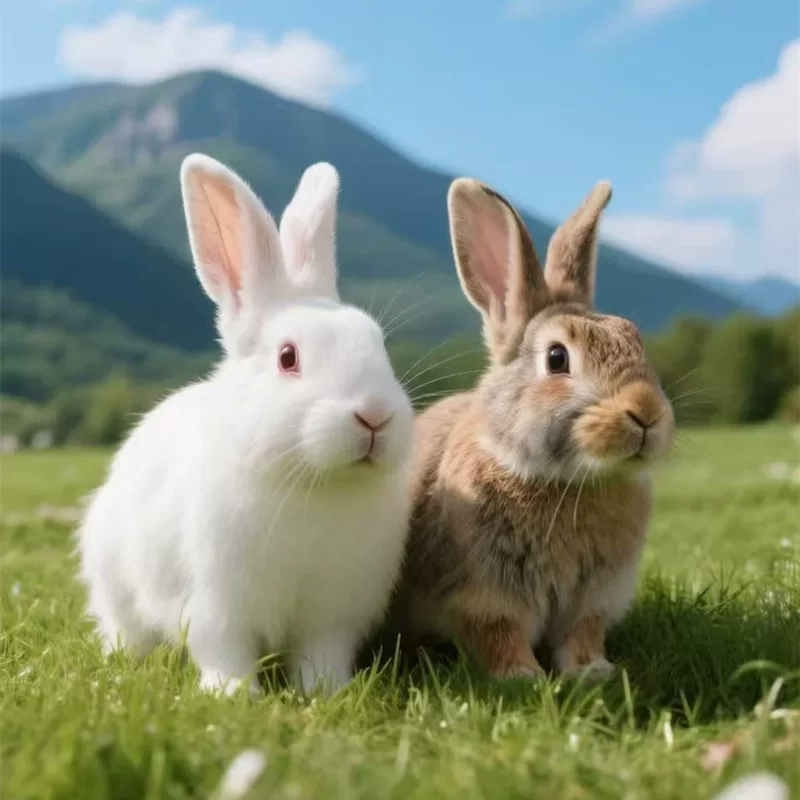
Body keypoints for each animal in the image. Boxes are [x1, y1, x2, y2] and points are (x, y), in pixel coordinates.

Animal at [77, 154, 414, 697]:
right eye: (287, 357)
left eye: (378, 343)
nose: (374, 415)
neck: (314, 485)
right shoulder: (217, 604)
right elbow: (224, 651)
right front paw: (234, 695)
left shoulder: (331, 616)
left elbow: (322, 655)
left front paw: (325, 693)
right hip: (115, 582)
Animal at [385, 177, 675, 681]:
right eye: (557, 358)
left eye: (634, 338)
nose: (646, 413)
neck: (567, 482)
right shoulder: (485, 593)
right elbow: (498, 633)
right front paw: (521, 678)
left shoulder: (592, 600)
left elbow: (582, 635)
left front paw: (593, 672)